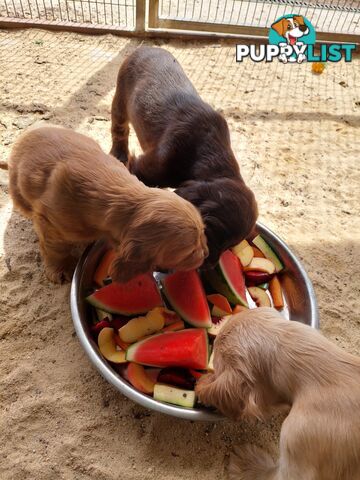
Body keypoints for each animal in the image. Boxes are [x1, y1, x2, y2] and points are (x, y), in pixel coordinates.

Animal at [9, 124, 208, 284]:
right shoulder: (49, 222)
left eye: (202, 233)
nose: (206, 253)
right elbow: (55, 248)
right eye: (190, 252)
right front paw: (60, 269)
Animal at [111, 45, 258, 268]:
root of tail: (145, 47)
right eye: (208, 232)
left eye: (230, 246)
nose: (209, 265)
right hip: (120, 98)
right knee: (119, 129)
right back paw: (118, 154)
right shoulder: (148, 167)